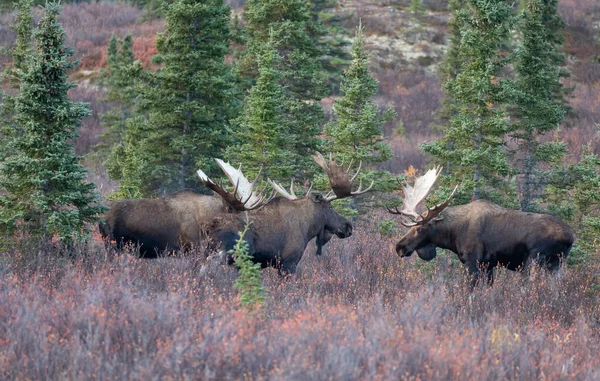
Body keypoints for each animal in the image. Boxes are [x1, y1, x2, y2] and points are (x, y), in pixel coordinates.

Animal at [386, 166, 576, 288]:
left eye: (419, 228)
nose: (399, 247)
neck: (453, 235)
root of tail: (570, 237)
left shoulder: (472, 261)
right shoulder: (489, 264)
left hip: (534, 261)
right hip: (557, 264)